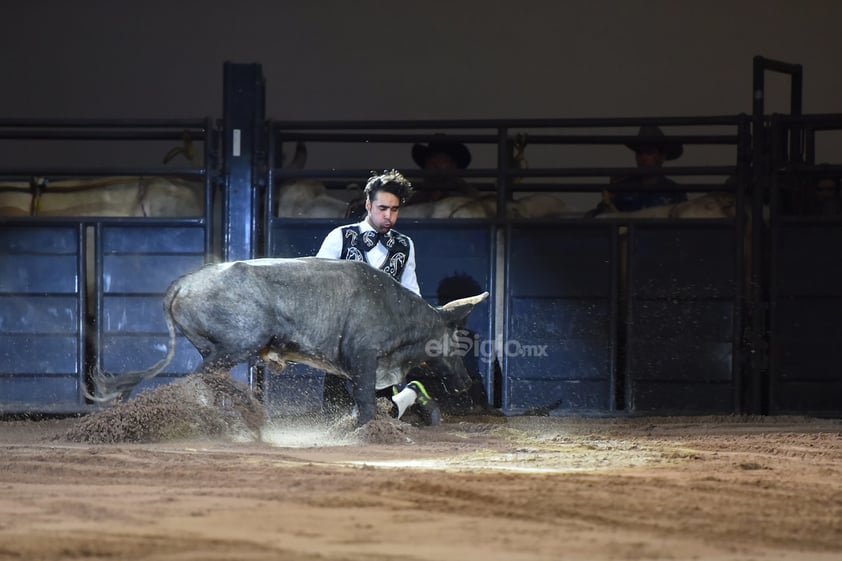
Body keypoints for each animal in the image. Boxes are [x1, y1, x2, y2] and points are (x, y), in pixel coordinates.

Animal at [91, 256, 486, 422]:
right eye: (459, 342)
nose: (467, 382)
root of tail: (183, 284)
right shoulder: (362, 358)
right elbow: (366, 402)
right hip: (239, 344)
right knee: (201, 378)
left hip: (214, 348)